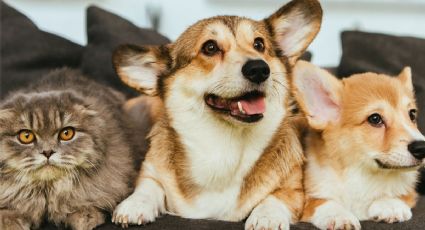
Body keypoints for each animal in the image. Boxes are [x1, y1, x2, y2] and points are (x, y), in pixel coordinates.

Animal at [0, 68, 139, 230]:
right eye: (26, 136)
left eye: (66, 134)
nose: (47, 152)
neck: (47, 191)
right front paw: (10, 222)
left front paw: (85, 216)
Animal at [109, 0, 322, 229]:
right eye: (210, 47)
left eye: (259, 44)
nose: (259, 69)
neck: (225, 148)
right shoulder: (151, 170)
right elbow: (148, 185)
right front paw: (134, 204)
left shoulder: (294, 189)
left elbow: (275, 197)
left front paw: (267, 217)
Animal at [292, 61, 424, 230]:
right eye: (375, 119)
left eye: (412, 114)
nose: (422, 148)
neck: (362, 174)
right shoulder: (304, 200)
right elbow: (322, 201)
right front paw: (339, 215)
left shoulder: (409, 193)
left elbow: (395, 194)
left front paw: (390, 204)